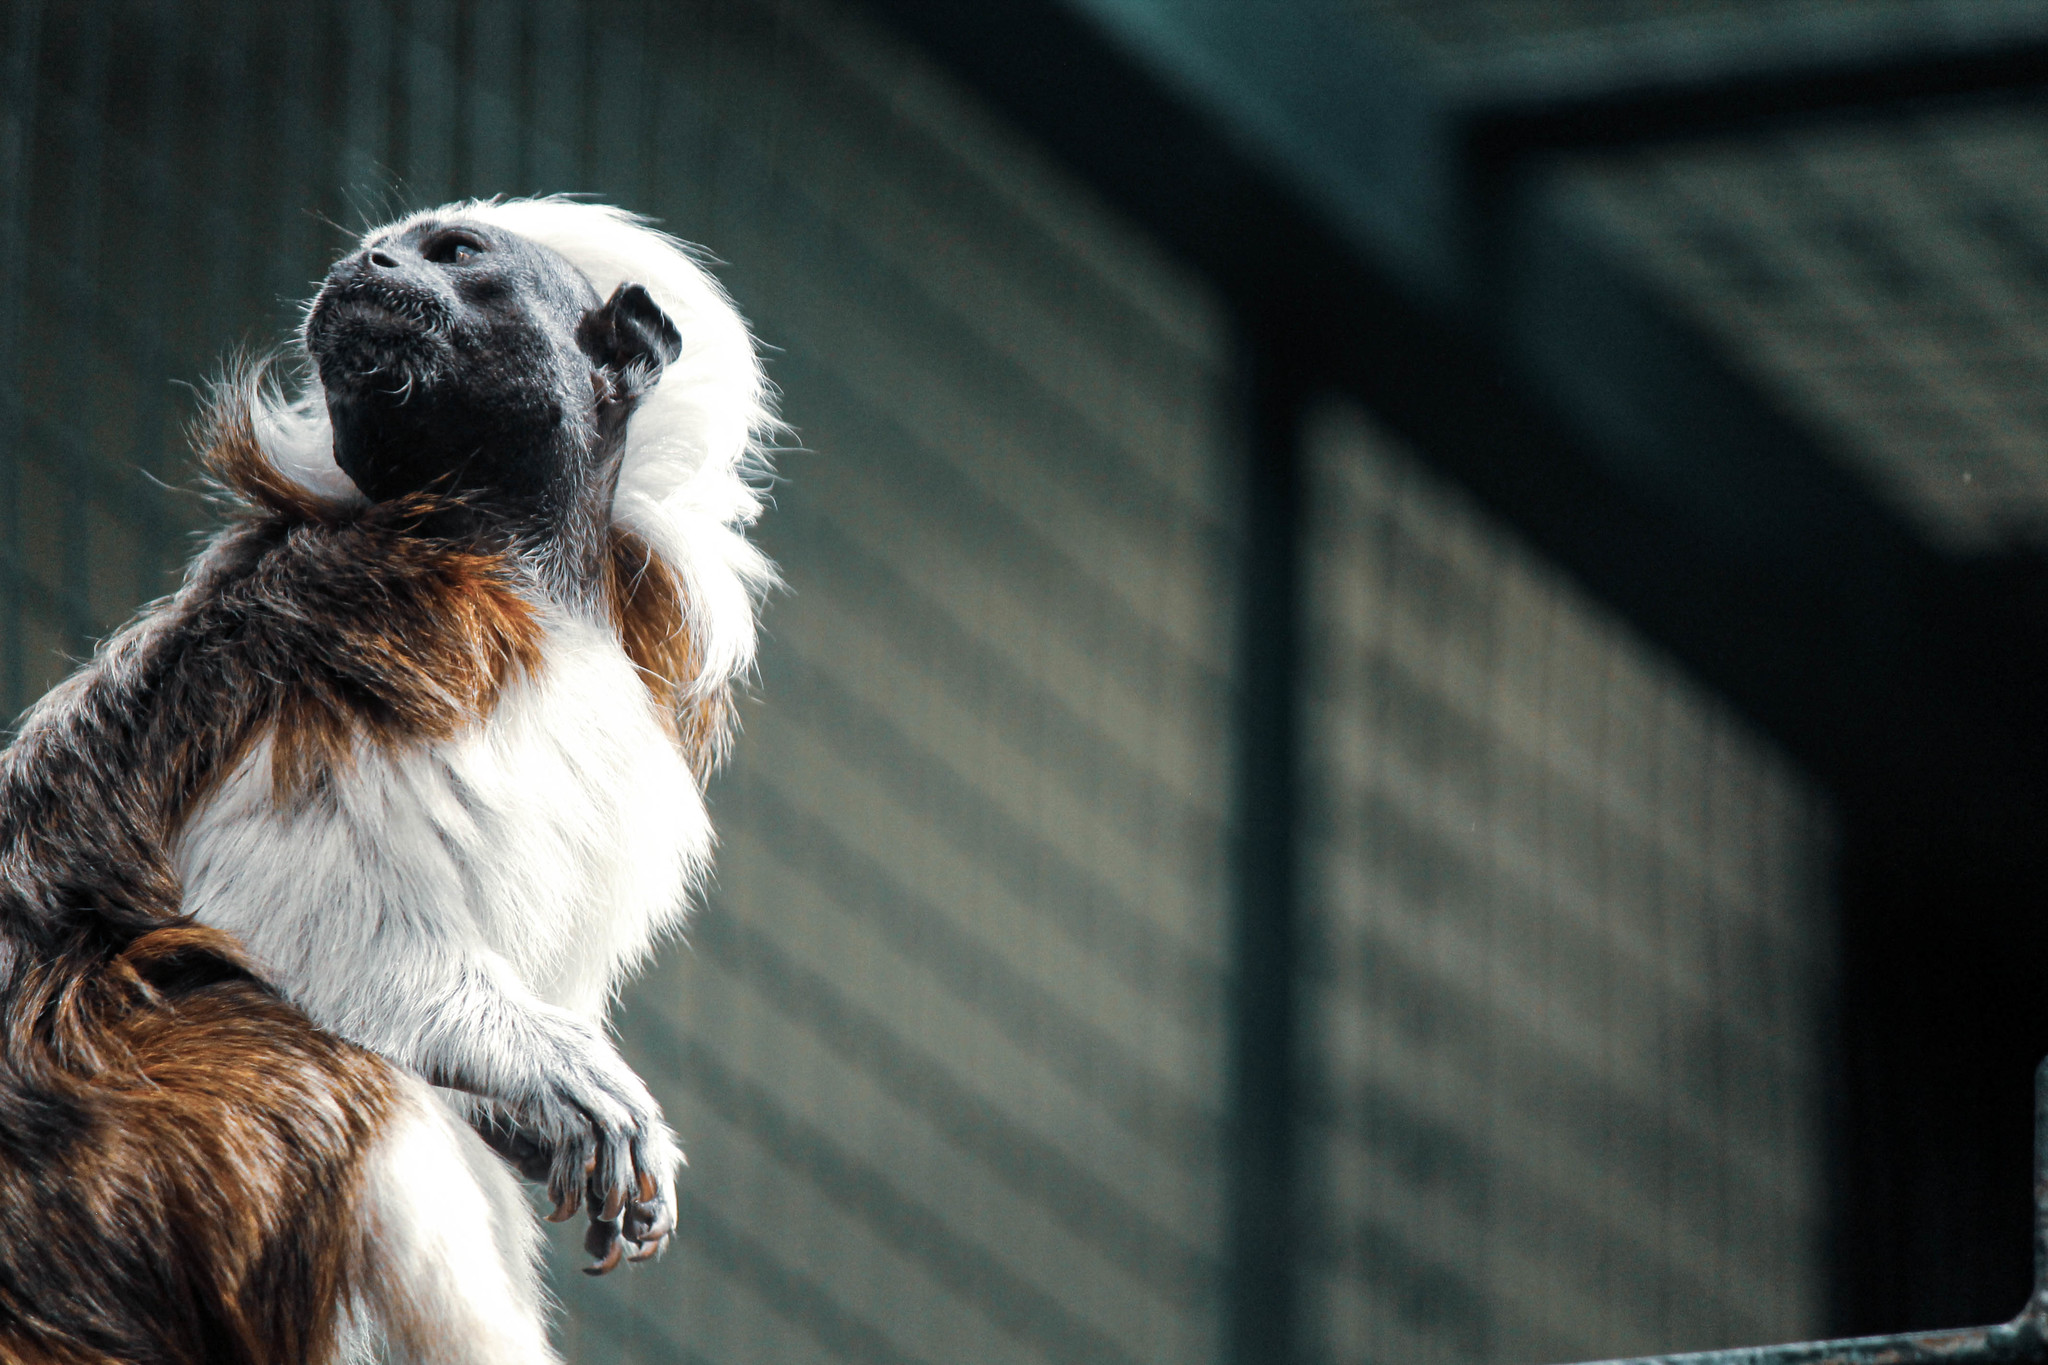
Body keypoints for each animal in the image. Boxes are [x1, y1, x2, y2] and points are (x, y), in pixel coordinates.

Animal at [0, 194, 774, 1365]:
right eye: (387, 251)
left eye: (452, 255)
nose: (367, 264)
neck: (523, 567)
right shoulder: (379, 620)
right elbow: (274, 904)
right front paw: (542, 1070)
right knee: (339, 1089)